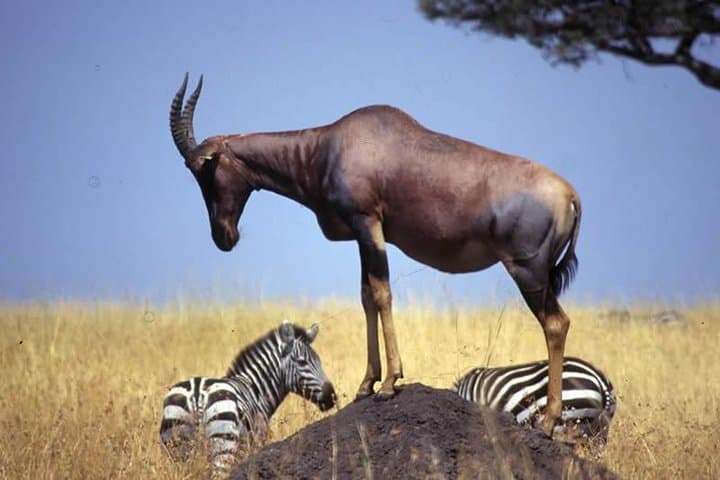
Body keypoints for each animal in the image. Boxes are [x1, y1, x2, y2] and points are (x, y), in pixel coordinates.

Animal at [169, 74, 581, 435]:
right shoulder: (359, 235)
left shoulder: (369, 224)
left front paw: (389, 384)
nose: (223, 236)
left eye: (205, 169)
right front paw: (367, 384)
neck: (328, 145)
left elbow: (383, 294)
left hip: (528, 272)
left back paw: (548, 423)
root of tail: (570, 195)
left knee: (556, 324)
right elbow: (367, 296)